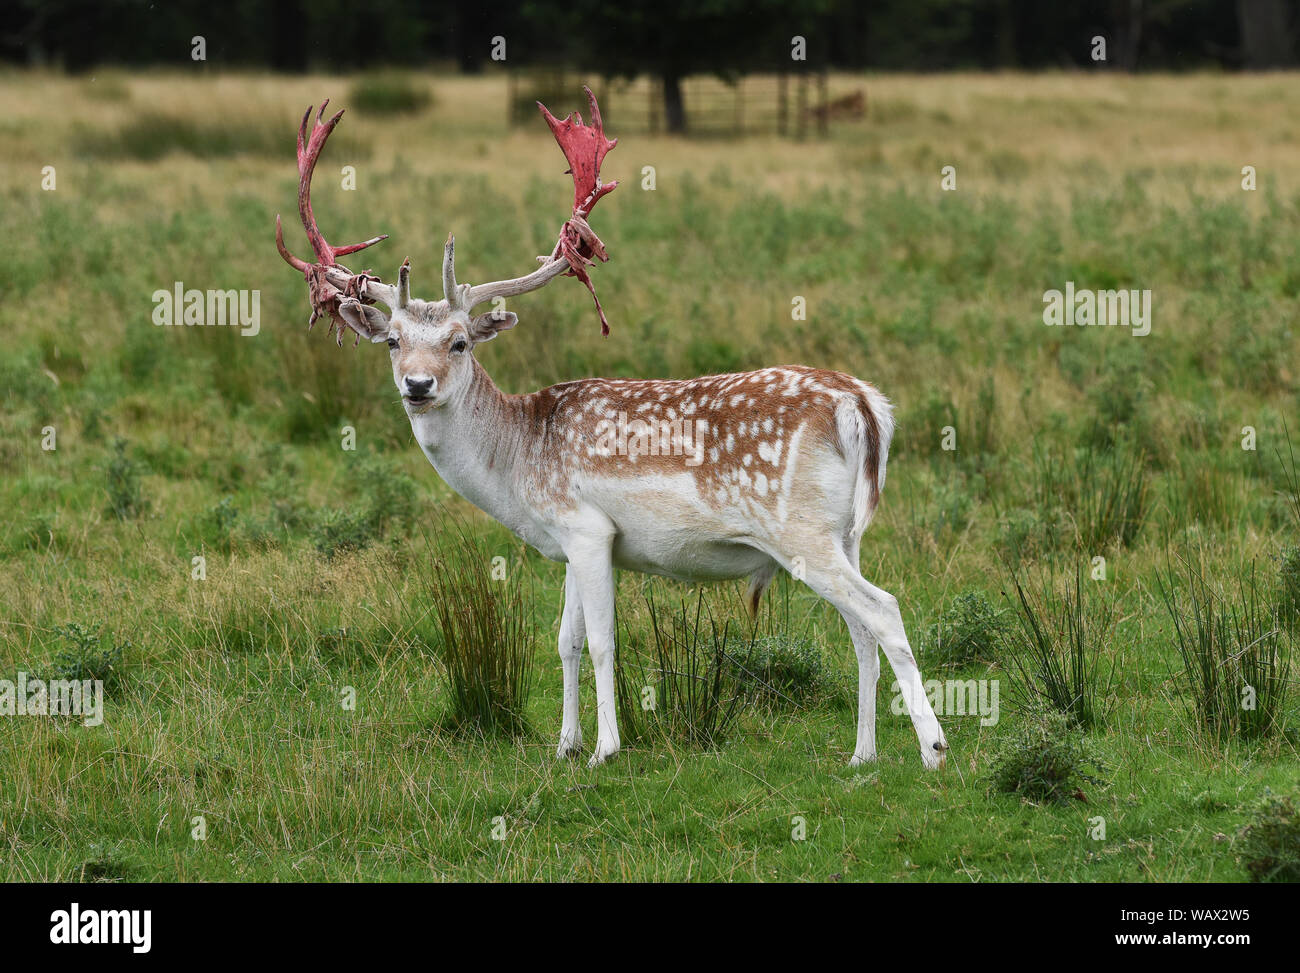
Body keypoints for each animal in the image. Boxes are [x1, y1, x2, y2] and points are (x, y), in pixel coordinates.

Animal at [276, 87, 946, 770]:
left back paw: (933, 749)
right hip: (845, 532)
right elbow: (565, 639)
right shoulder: (573, 539)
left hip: (799, 528)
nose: (417, 385)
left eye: (460, 343)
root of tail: (864, 406)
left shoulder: (587, 527)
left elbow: (602, 641)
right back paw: (862, 756)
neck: (519, 465)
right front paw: (564, 745)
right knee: (860, 628)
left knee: (884, 610)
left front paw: (605, 748)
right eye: (391, 341)